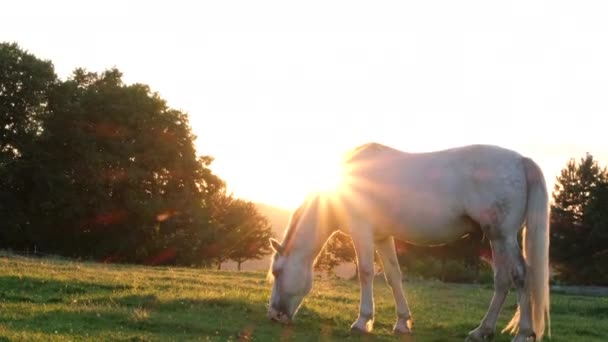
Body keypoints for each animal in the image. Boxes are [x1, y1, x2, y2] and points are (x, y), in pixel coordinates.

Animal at [266, 142, 552, 342]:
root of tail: (521, 161)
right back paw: (482, 331)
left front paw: (362, 321)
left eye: (277, 272)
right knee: (503, 280)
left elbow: (366, 273)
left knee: (520, 276)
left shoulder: (362, 232)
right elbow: (393, 276)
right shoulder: (382, 237)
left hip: (503, 236)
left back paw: (522, 333)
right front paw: (402, 322)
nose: (274, 315)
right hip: (496, 238)